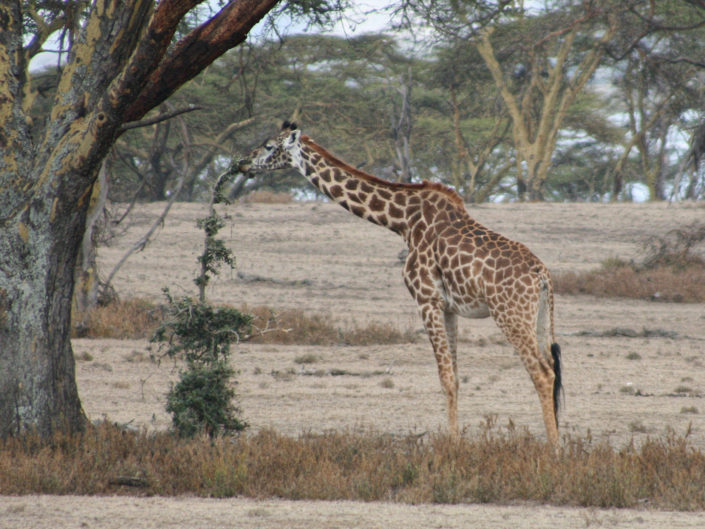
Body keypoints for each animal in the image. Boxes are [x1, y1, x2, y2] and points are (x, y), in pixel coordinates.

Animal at [238, 122, 562, 448]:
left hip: (510, 315)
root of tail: (542, 275)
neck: (403, 221)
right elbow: (456, 376)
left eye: (269, 146)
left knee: (542, 373)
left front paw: (452, 445)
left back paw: (553, 448)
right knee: (553, 368)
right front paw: (457, 441)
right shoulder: (448, 307)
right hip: (538, 317)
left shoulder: (426, 299)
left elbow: (445, 378)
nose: (241, 162)